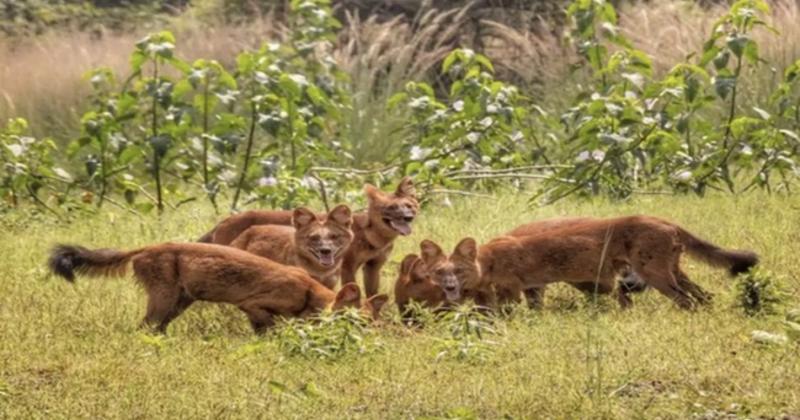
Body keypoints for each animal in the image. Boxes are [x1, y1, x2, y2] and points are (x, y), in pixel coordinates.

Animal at [47, 241, 390, 334]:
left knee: (157, 328)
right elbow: (267, 330)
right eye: (359, 322)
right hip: (164, 299)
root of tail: (145, 247)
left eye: (373, 322)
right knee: (143, 328)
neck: (308, 291)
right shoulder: (253, 305)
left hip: (178, 303)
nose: (375, 337)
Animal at [198, 176, 418, 296]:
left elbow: (373, 293)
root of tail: (223, 221)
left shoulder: (373, 267)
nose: (408, 217)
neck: (375, 239)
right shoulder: (347, 266)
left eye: (408, 205)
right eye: (390, 208)